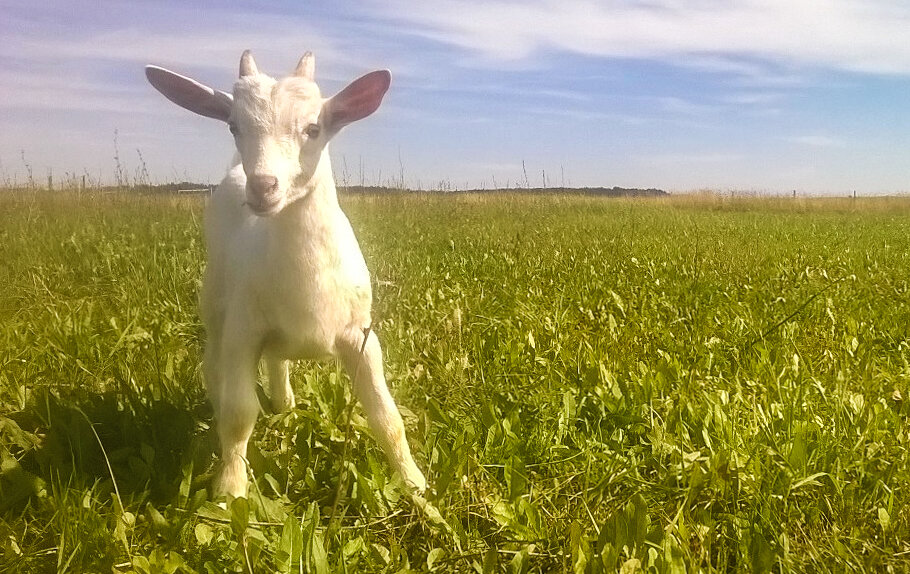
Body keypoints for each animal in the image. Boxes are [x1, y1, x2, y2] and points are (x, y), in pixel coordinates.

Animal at [145, 51, 427, 498]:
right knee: (216, 370)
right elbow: (239, 414)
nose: (263, 187)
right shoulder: (243, 332)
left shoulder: (361, 335)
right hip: (217, 311)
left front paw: (415, 485)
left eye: (314, 128)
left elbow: (387, 417)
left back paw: (286, 406)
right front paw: (229, 491)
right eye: (233, 126)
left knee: (278, 361)